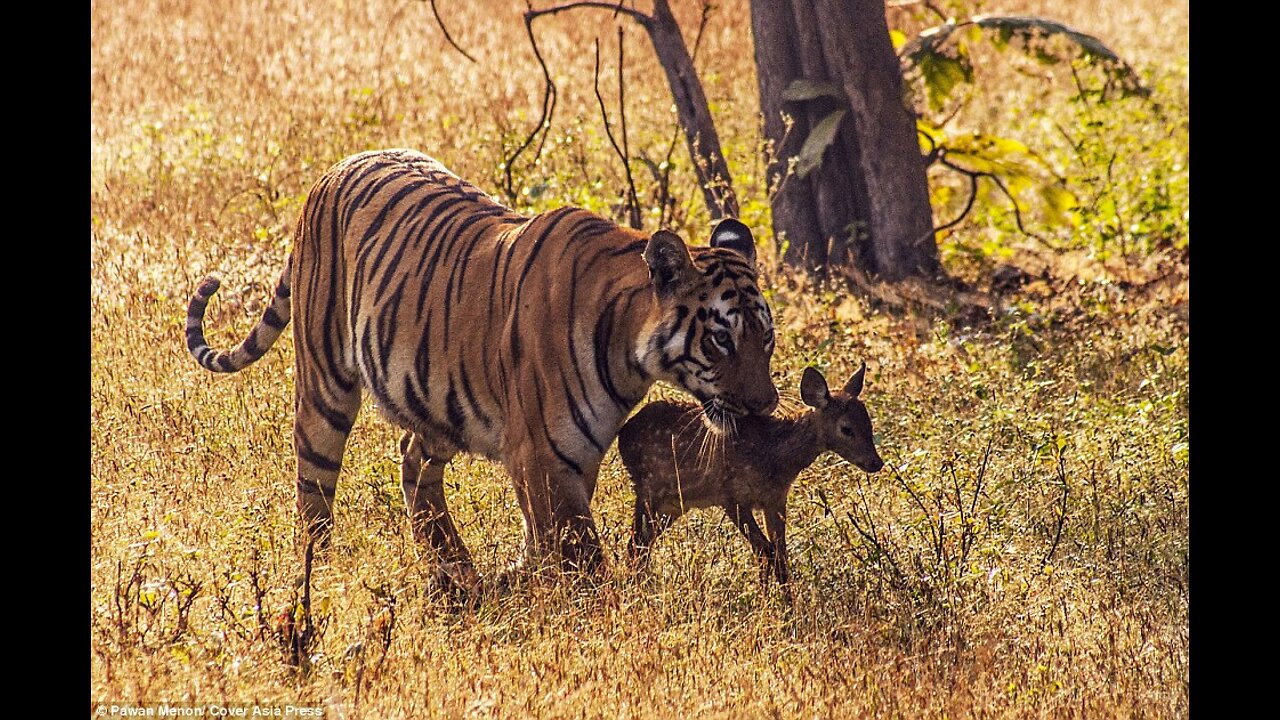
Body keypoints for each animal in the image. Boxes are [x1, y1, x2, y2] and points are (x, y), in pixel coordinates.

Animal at [184, 148, 773, 579]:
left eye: (766, 339)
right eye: (722, 338)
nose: (765, 407)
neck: (629, 351)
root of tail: (333, 170)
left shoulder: (573, 459)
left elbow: (547, 539)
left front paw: (524, 580)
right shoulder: (542, 457)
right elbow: (580, 555)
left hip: (435, 396)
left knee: (412, 460)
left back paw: (452, 567)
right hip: (325, 386)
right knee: (314, 487)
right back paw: (322, 574)